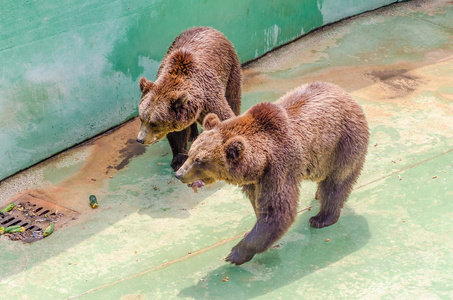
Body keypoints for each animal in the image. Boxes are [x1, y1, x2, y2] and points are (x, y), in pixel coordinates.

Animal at [137, 27, 240, 171]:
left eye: (153, 123)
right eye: (142, 118)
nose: (140, 139)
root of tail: (208, 28)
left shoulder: (209, 98)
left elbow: (223, 117)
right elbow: (177, 135)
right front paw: (178, 160)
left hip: (230, 68)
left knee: (233, 98)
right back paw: (192, 134)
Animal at [173, 81, 368, 264]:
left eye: (199, 161)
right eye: (190, 154)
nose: (179, 174)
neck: (259, 163)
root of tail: (348, 96)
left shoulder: (280, 168)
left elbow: (277, 210)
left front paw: (235, 253)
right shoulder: (254, 180)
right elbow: (258, 203)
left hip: (343, 143)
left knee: (337, 181)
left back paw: (321, 217)